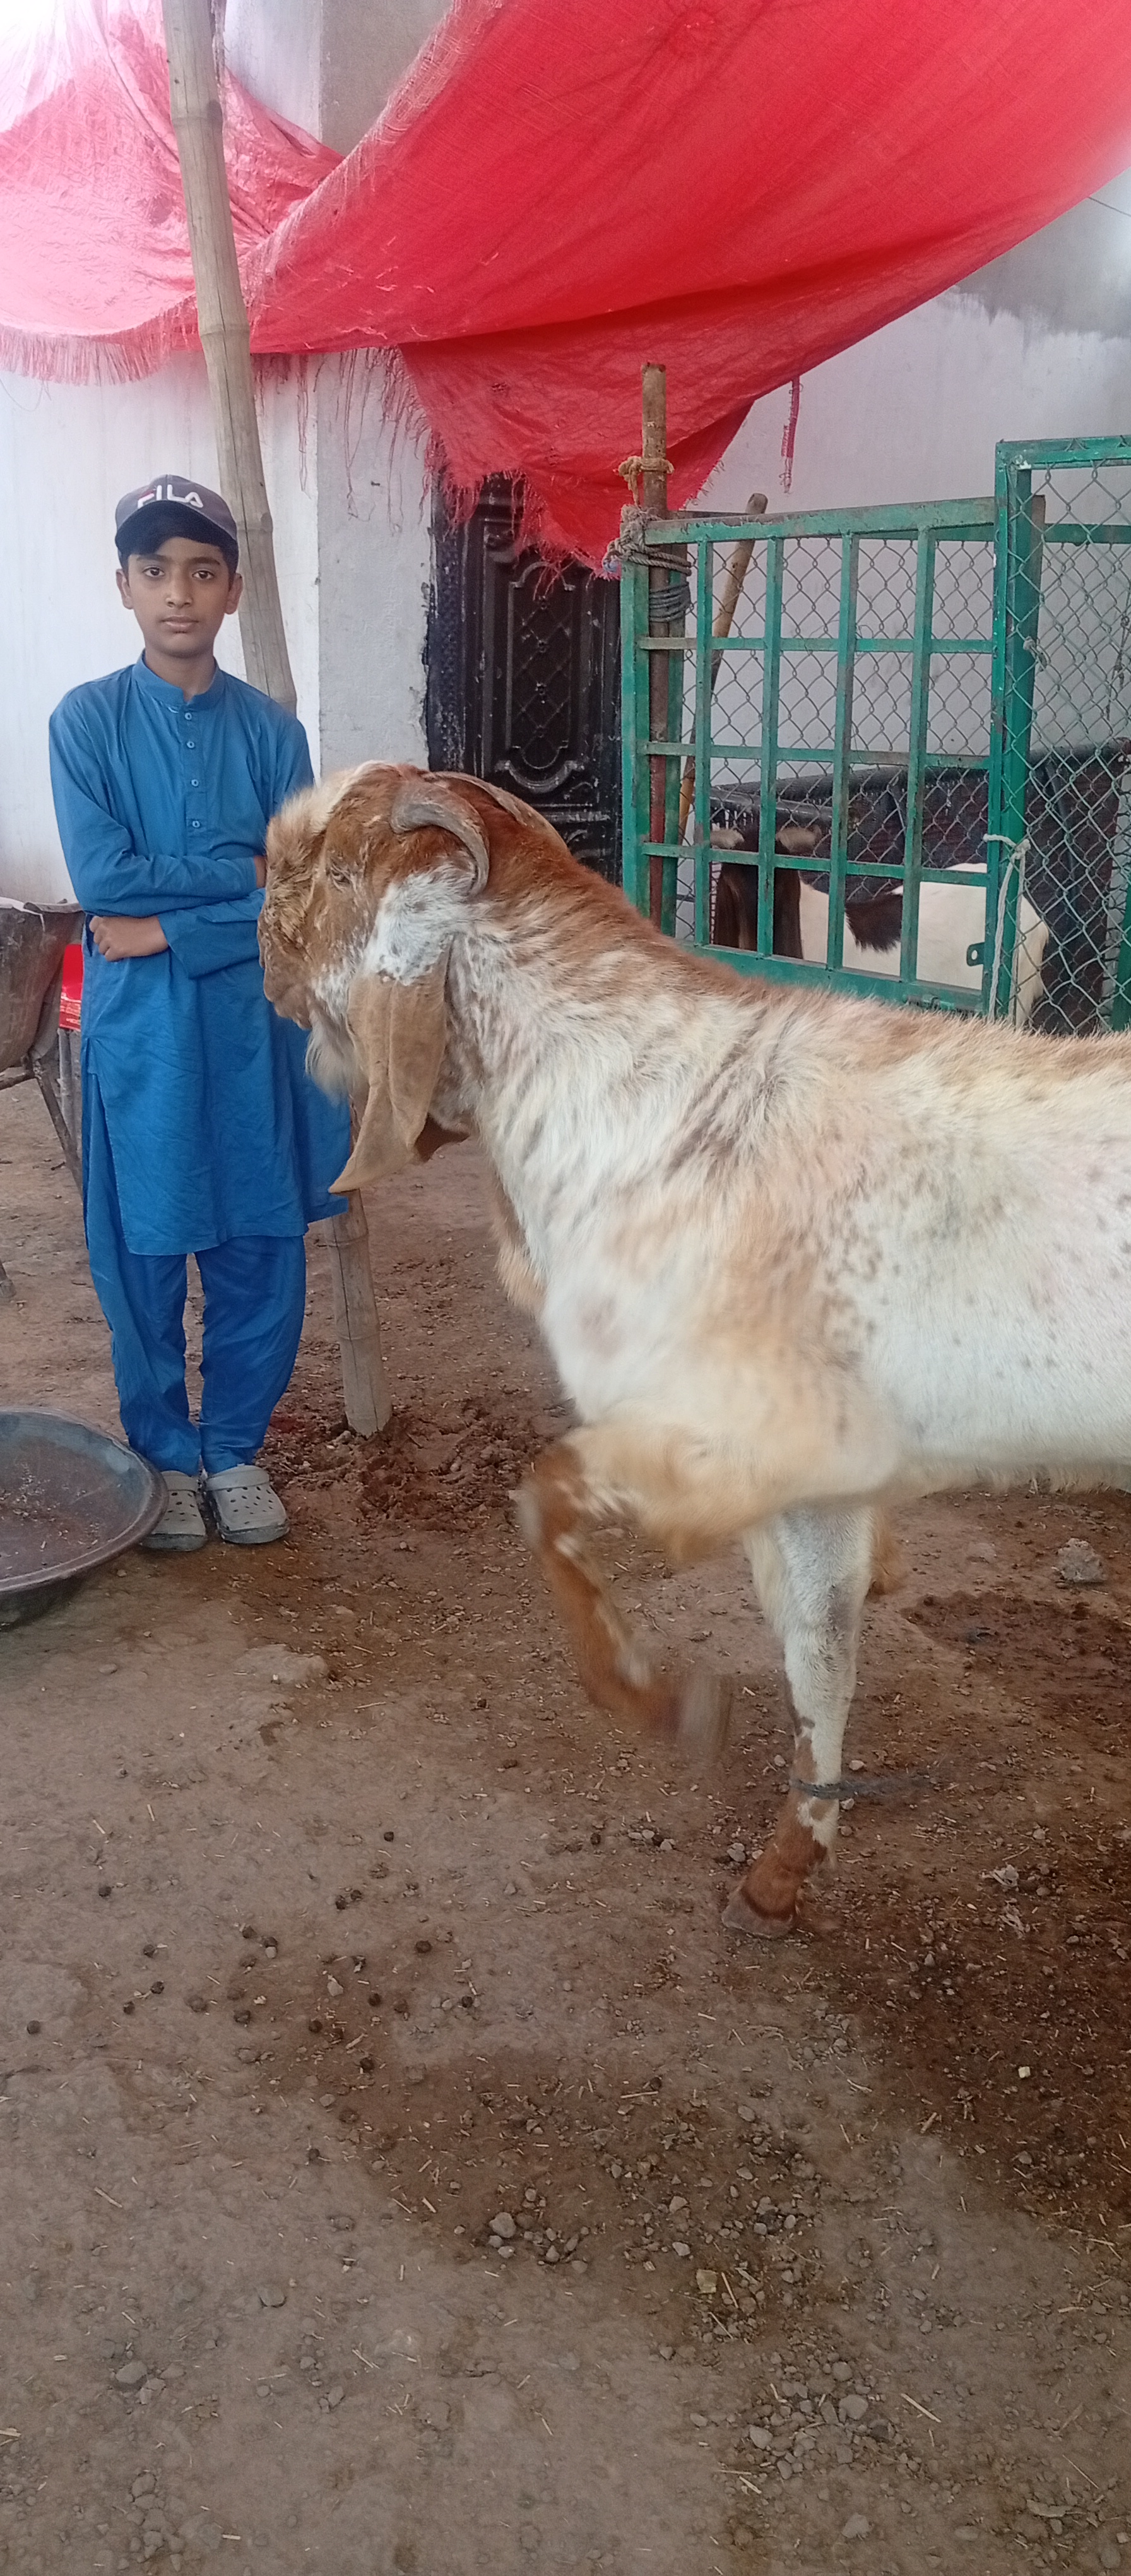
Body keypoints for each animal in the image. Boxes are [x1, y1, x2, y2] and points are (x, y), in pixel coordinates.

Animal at [261, 764, 1131, 1937]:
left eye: (333, 870)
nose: (259, 937)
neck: (641, 1116)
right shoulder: (818, 1482)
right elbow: (819, 1650)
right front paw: (787, 1863)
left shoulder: (727, 1435)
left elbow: (551, 1504)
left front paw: (668, 1709)